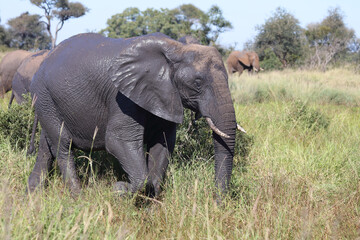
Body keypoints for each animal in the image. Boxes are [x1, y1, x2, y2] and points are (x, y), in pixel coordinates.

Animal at [28, 32, 239, 201]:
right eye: (197, 82)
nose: (216, 203)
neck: (175, 49)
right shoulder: (123, 98)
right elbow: (117, 141)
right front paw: (119, 189)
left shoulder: (164, 95)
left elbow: (163, 144)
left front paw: (150, 206)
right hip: (45, 96)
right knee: (63, 145)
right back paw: (78, 199)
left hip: (48, 103)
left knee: (47, 147)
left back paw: (32, 195)